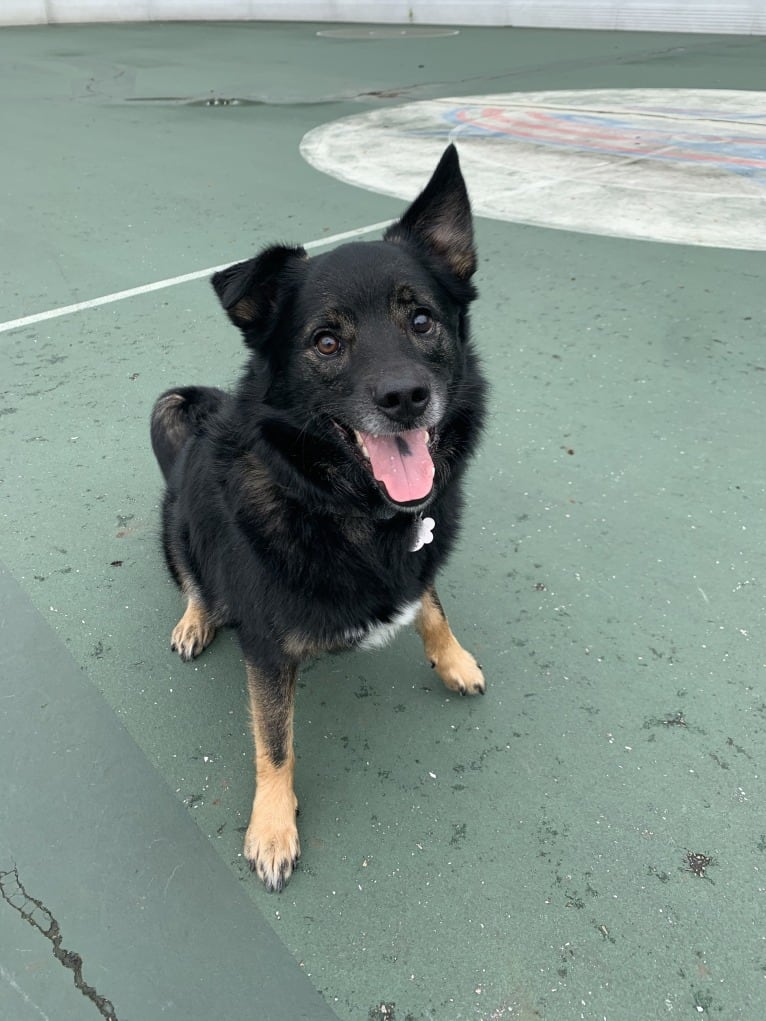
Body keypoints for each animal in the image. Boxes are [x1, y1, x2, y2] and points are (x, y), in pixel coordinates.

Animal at [152, 146, 488, 894]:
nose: (405, 397)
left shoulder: (419, 557)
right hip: (176, 522)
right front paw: (273, 828)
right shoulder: (268, 647)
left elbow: (431, 603)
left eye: (421, 321)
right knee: (195, 581)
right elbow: (274, 742)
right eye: (327, 341)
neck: (344, 507)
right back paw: (194, 619)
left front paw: (452, 657)